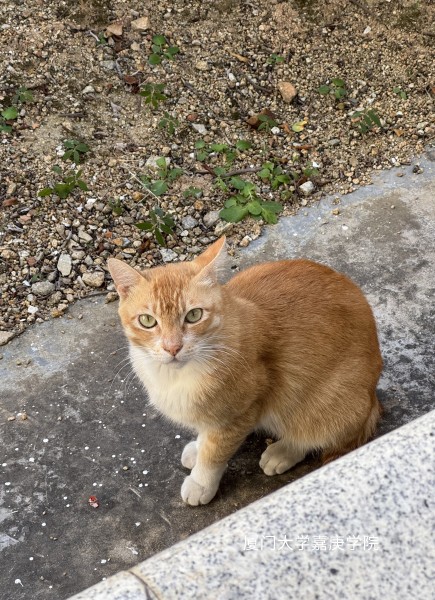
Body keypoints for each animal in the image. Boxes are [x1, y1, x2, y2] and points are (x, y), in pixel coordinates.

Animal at [108, 236, 383, 506]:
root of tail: (372, 398)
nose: (172, 347)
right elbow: (205, 431)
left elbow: (215, 453)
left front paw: (201, 481)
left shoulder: (242, 411)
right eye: (147, 321)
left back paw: (283, 451)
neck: (176, 377)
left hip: (328, 402)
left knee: (316, 432)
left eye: (194, 315)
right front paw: (198, 447)